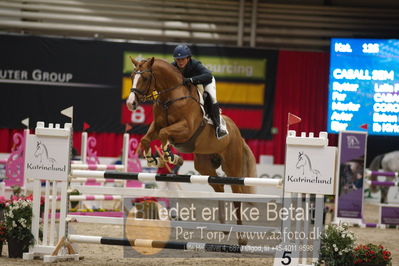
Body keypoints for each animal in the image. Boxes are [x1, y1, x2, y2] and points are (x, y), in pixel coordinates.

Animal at [128, 57, 258, 244]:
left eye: (144, 78)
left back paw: (242, 238)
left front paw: (170, 156)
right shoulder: (156, 126)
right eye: (132, 76)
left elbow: (164, 133)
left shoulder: (186, 128)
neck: (170, 98)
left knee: (237, 195)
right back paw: (224, 228)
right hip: (204, 164)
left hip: (232, 165)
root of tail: (238, 135)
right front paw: (153, 158)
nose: (130, 103)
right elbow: (147, 138)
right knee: (219, 186)